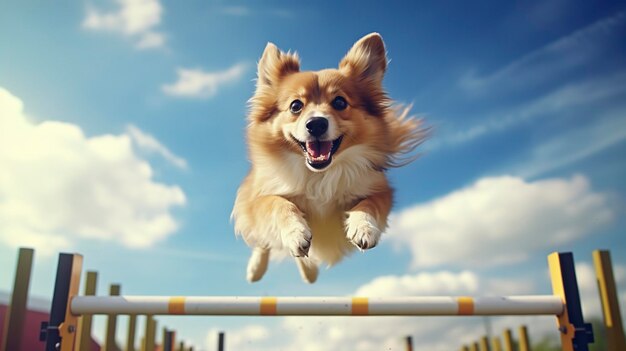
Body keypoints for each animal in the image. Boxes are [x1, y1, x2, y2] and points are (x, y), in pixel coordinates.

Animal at [232, 33, 426, 284]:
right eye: (296, 106)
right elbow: (278, 204)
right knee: (264, 242)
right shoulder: (259, 197)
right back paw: (258, 269)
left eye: (340, 102)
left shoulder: (380, 190)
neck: (320, 174)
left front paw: (363, 227)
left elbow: (369, 204)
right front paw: (296, 232)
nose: (316, 123)